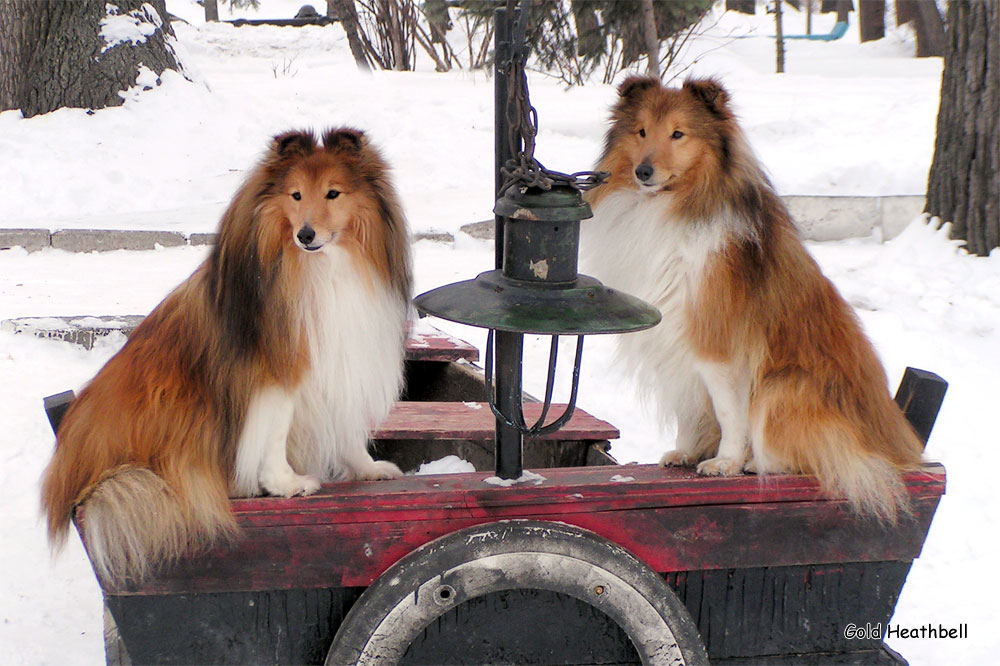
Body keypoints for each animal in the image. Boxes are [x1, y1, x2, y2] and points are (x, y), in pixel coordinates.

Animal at [41, 126, 412, 580]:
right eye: (295, 195)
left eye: (333, 193)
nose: (305, 235)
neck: (323, 266)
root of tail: (70, 473)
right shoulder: (277, 372)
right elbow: (273, 432)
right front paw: (286, 484)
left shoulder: (334, 360)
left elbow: (345, 426)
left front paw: (367, 468)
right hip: (171, 403)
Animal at [584, 78, 920, 520]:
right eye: (641, 132)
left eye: (678, 134)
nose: (644, 171)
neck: (671, 205)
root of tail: (899, 451)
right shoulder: (678, 342)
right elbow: (691, 404)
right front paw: (686, 451)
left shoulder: (718, 342)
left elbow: (729, 411)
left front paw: (724, 461)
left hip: (785, 386)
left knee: (828, 461)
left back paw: (755, 461)